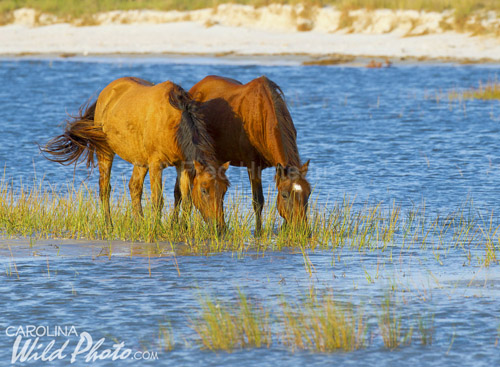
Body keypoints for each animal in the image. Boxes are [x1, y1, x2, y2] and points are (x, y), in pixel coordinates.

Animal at [43, 77, 230, 230]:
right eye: (204, 190)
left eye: (224, 190)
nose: (220, 228)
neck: (174, 123)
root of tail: (106, 92)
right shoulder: (156, 164)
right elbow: (157, 200)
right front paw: (156, 229)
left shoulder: (183, 164)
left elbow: (186, 199)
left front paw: (181, 229)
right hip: (105, 151)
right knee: (105, 188)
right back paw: (109, 225)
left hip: (139, 160)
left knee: (134, 187)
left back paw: (138, 223)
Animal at [175, 76, 308, 234]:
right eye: (285, 195)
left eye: (308, 194)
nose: (303, 230)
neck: (262, 115)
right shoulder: (253, 166)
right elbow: (258, 201)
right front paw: (258, 232)